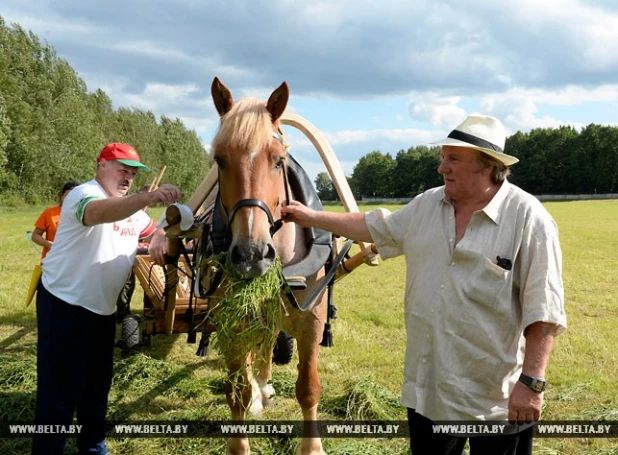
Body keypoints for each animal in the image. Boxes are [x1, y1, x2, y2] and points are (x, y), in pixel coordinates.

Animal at [203, 76, 330, 454]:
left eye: (278, 161)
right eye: (220, 160)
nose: (252, 254)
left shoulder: (311, 322)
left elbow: (308, 388)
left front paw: (312, 447)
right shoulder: (231, 324)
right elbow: (238, 393)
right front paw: (240, 444)